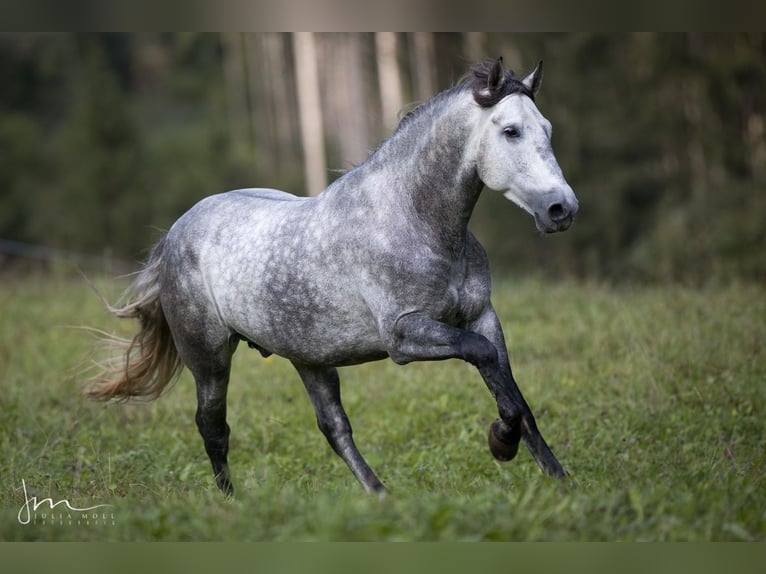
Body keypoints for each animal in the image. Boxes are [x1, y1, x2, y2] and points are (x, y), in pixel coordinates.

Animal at [90, 59, 580, 500]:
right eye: (510, 131)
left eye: (547, 129)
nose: (561, 209)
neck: (415, 223)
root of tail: (176, 231)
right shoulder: (404, 336)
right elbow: (484, 361)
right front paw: (500, 443)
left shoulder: (483, 318)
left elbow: (513, 393)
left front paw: (558, 479)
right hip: (209, 358)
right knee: (213, 426)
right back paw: (232, 504)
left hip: (309, 358)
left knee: (333, 428)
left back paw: (380, 496)